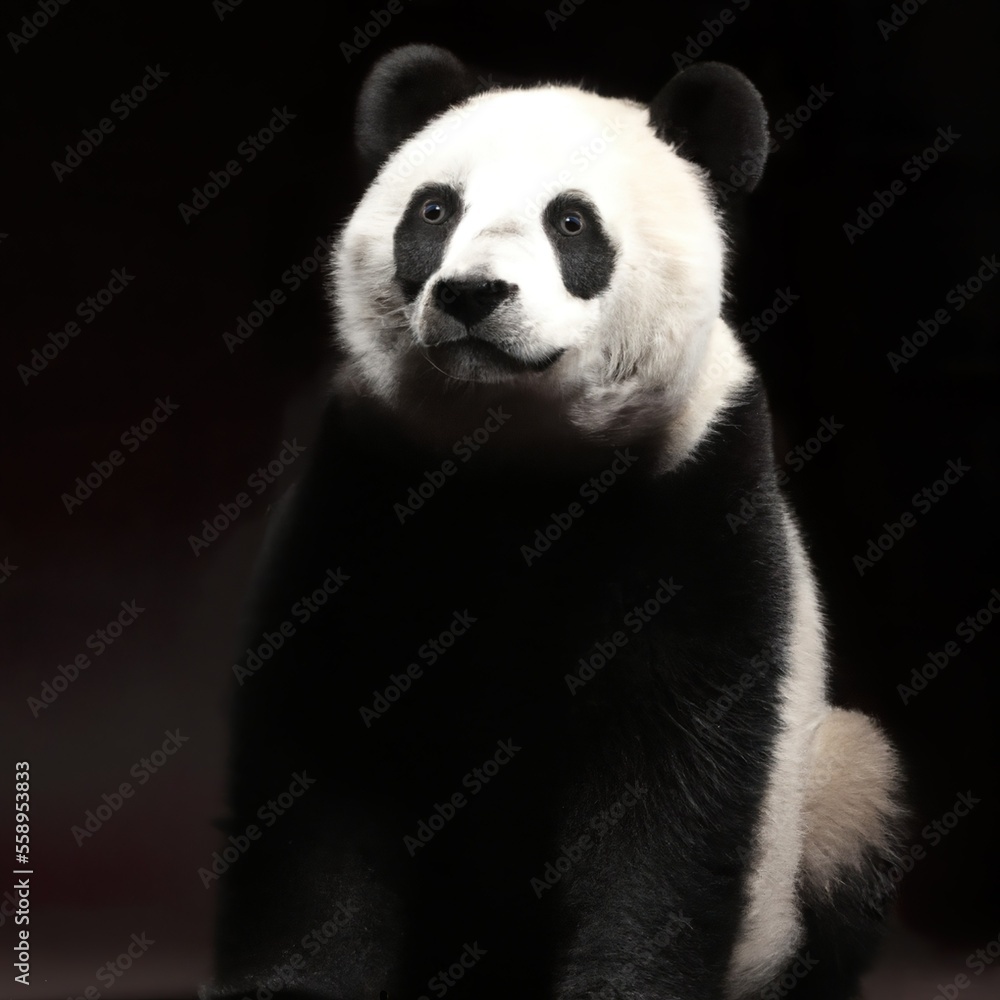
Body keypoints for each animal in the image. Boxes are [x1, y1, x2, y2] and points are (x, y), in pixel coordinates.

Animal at [203, 45, 905, 1000]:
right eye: (435, 209)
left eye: (571, 223)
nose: (472, 295)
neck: (522, 454)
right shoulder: (366, 477)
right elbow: (322, 727)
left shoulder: (696, 485)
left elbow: (674, 770)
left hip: (816, 796)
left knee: (852, 799)